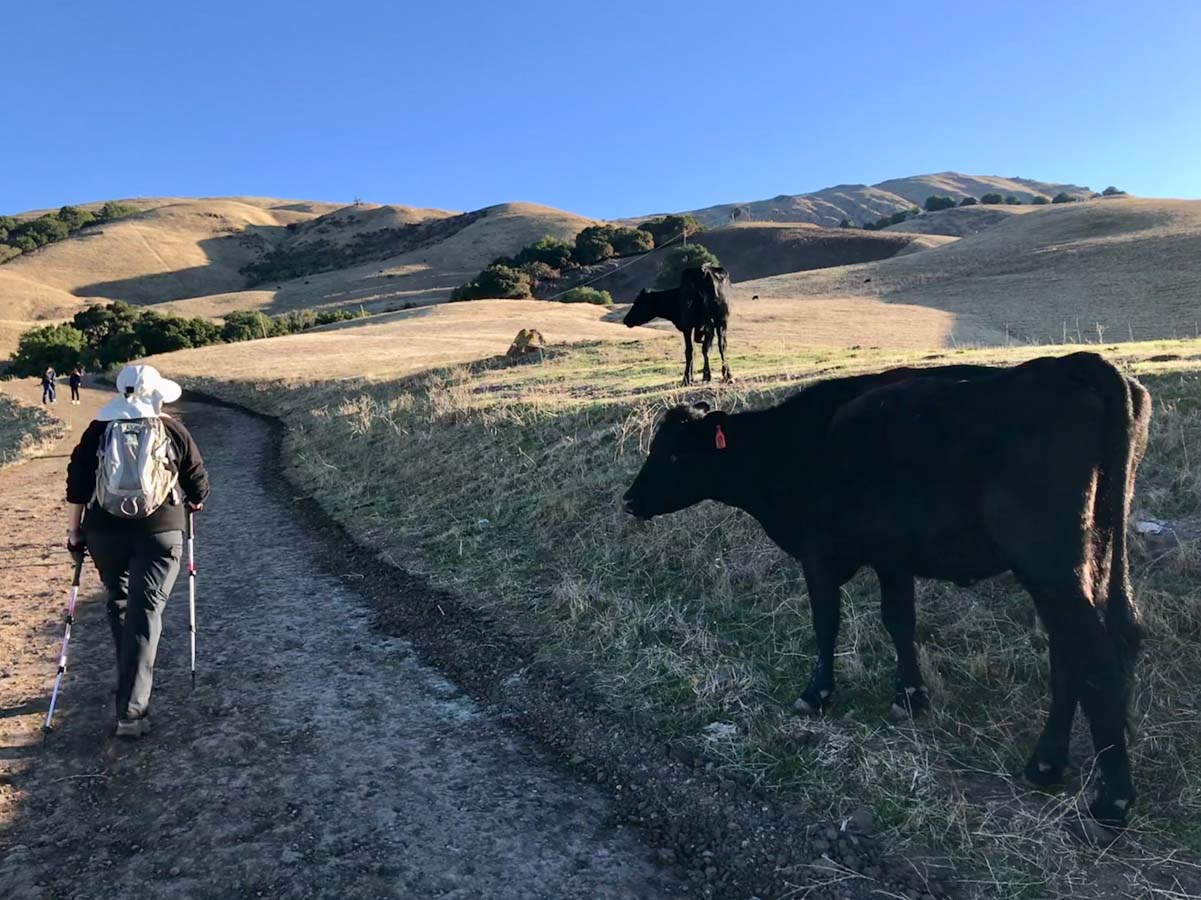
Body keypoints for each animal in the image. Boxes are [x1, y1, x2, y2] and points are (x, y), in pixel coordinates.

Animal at [622, 352, 1151, 829]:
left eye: (674, 453)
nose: (629, 500)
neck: (790, 448)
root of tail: (1073, 364)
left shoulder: (818, 553)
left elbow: (826, 622)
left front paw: (816, 694)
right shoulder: (893, 558)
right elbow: (899, 620)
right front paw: (911, 696)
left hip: (1048, 563)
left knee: (1091, 651)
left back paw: (1113, 800)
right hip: (1086, 558)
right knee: (1077, 648)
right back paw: (1046, 764)